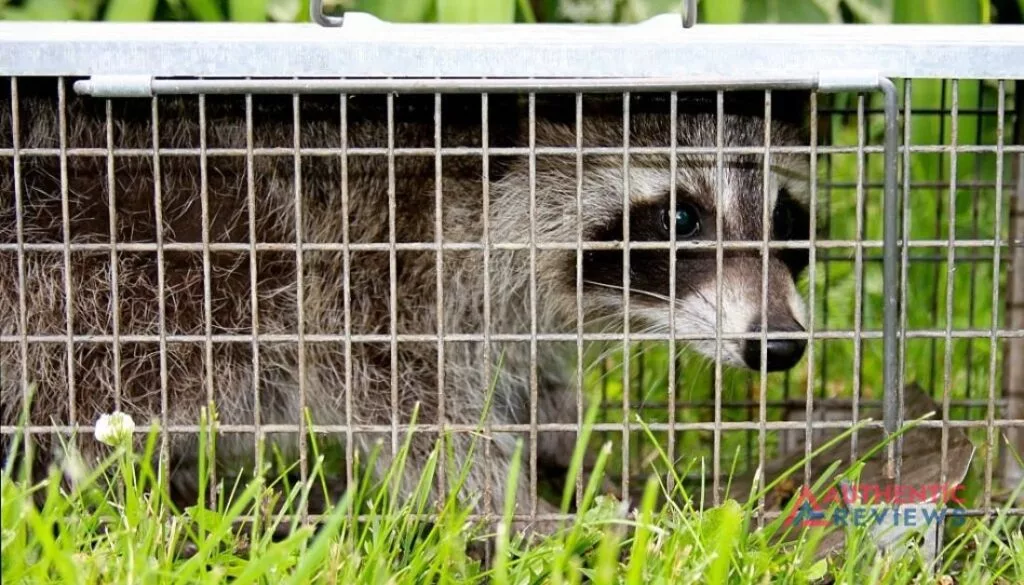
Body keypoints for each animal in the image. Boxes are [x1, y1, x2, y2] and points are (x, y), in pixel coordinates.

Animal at [4, 77, 811, 536]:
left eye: (786, 220)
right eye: (681, 219)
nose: (779, 343)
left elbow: (522, 380)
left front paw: (570, 439)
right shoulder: (363, 269)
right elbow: (416, 413)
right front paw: (526, 513)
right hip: (92, 267)